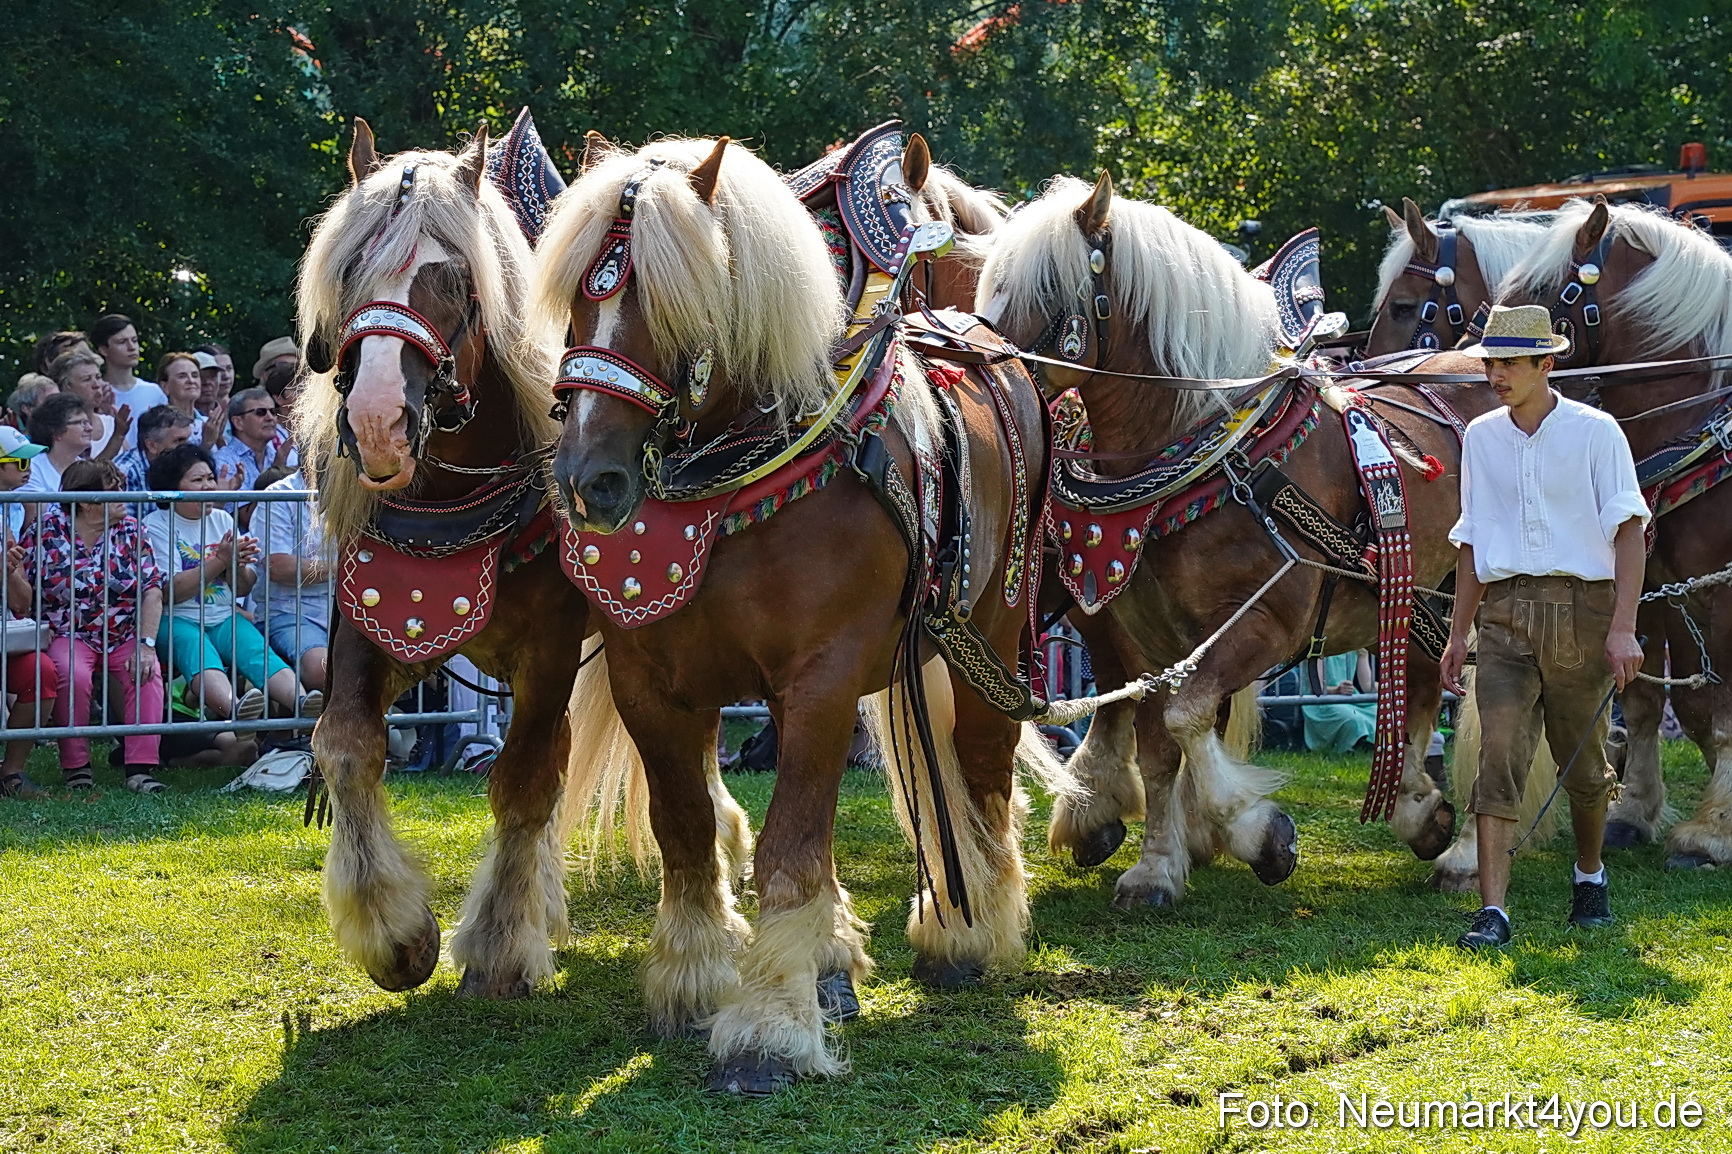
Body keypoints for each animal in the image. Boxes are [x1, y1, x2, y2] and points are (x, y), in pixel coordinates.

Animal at [535, 135, 1060, 1093]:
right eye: (580, 298)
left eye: (674, 303)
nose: (589, 480)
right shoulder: (652, 683)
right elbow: (690, 831)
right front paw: (701, 979)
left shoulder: (820, 680)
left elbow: (788, 848)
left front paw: (769, 1026)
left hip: (996, 634)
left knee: (982, 767)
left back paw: (972, 928)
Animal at [977, 174, 1508, 908]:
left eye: (1050, 289)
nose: (975, 358)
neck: (1208, 454)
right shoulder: (1148, 640)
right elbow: (1157, 745)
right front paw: (1157, 866)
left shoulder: (1265, 625)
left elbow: (1187, 717)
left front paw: (1255, 831)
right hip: (1422, 599)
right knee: (1425, 687)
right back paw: (1418, 810)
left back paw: (1462, 855)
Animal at [1496, 198, 1732, 869]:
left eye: (1545, 292)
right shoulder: (1659, 585)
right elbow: (1655, 699)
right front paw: (1634, 814)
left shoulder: (1720, 590)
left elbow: (1723, 710)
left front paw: (1712, 832)